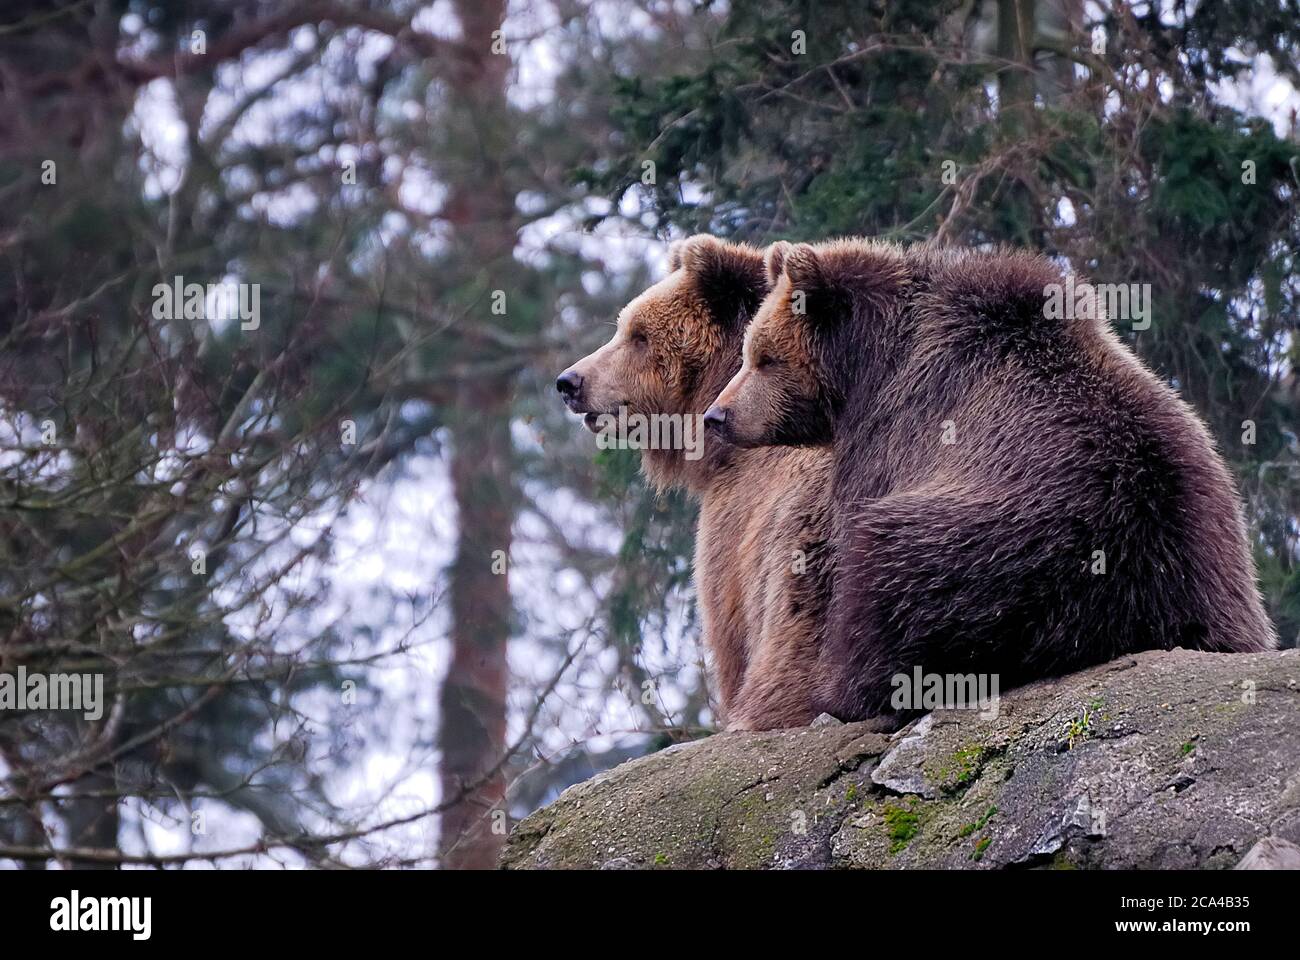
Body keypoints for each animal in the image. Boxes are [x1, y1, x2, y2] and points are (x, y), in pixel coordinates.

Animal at [705, 237, 1277, 722]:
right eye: (749, 353)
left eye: (764, 357)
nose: (717, 415)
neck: (867, 363)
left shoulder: (900, 426)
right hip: (1214, 545)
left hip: (995, 545)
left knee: (889, 574)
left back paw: (841, 693)